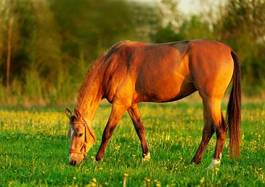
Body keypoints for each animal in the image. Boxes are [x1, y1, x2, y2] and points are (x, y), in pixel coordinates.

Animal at [65, 39, 240, 168]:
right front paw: (146, 157)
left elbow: (108, 131)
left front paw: (98, 159)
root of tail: (228, 50)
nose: (73, 161)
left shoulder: (119, 104)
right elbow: (140, 128)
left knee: (221, 128)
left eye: (79, 133)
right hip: (207, 100)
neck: (113, 64)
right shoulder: (131, 105)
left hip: (211, 100)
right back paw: (194, 162)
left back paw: (213, 164)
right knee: (208, 129)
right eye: (69, 134)